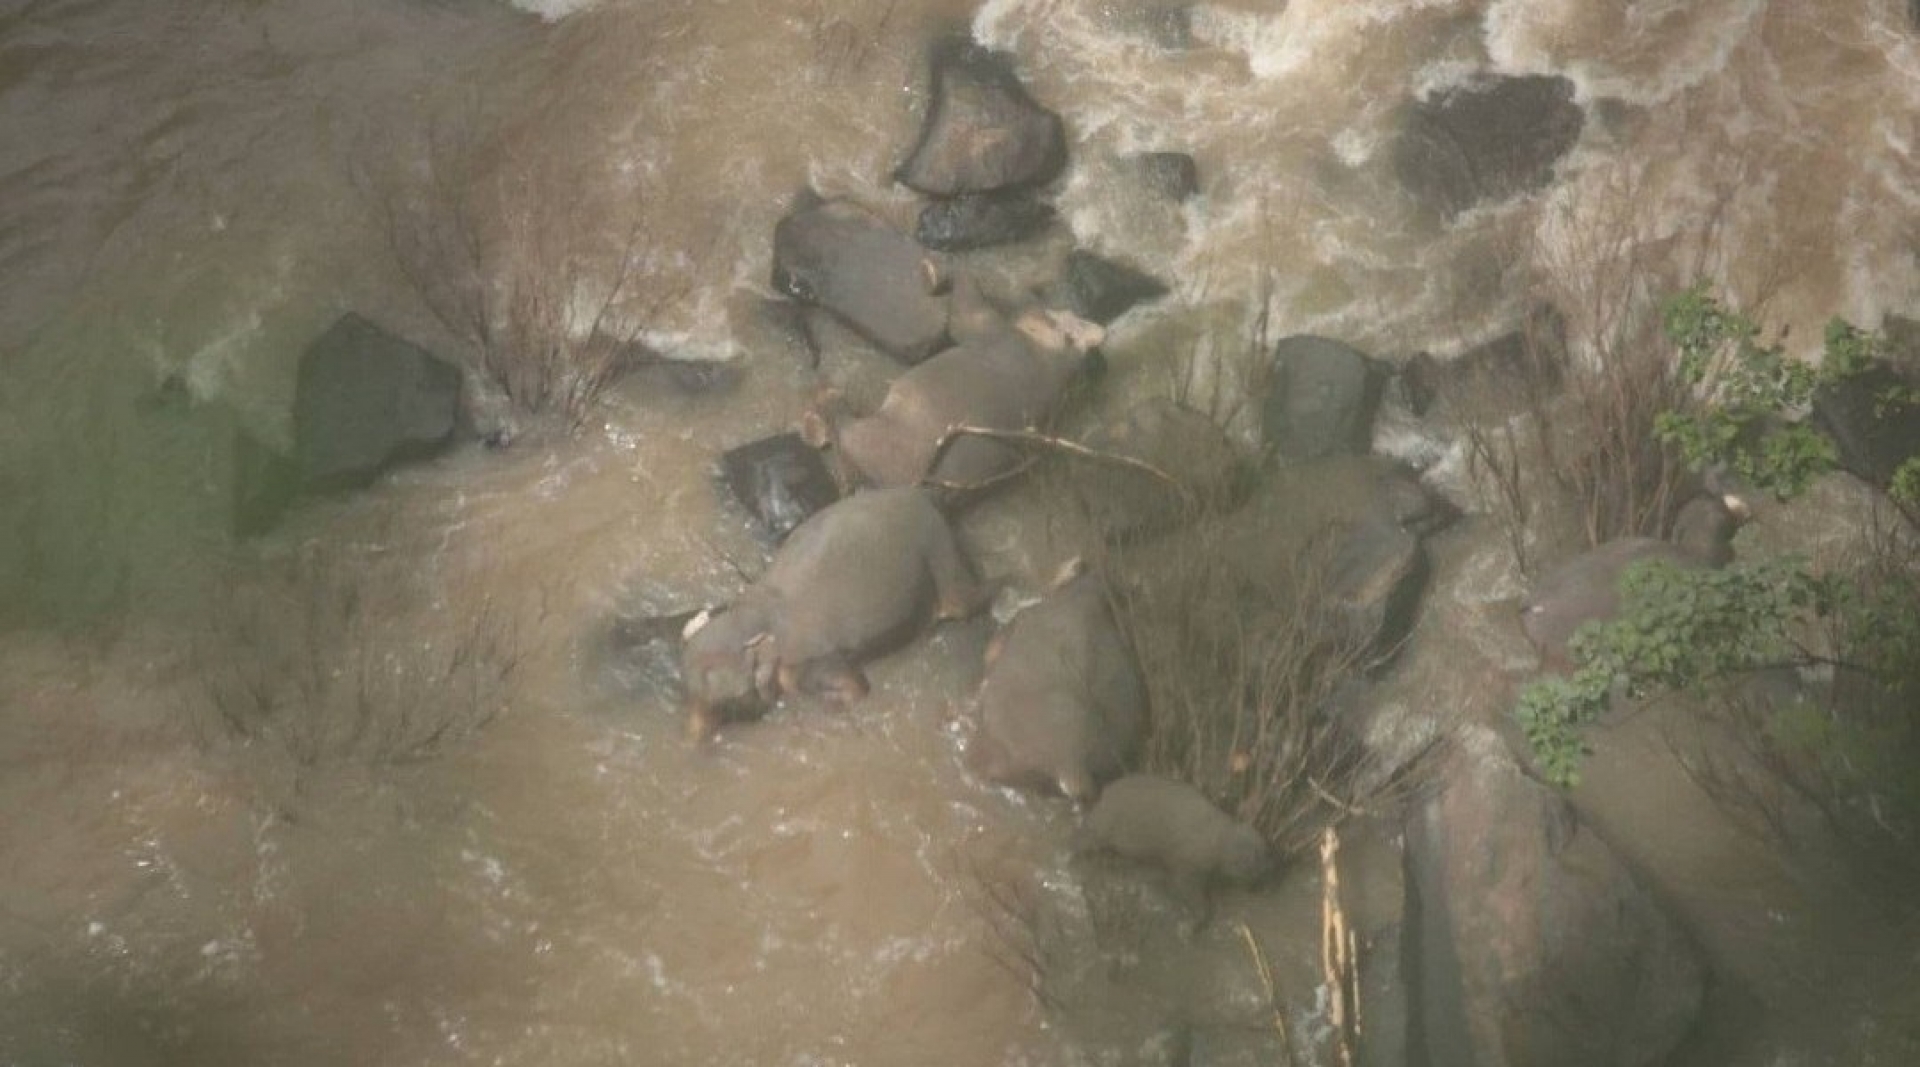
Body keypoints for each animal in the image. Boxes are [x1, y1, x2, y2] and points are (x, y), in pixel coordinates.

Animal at [680, 486, 987, 741]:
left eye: (727, 703)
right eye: (689, 692)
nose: (696, 739)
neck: (758, 613)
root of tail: (930, 496)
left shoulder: (814, 659)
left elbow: (857, 690)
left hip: (941, 552)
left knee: (967, 598)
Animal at [801, 277, 1104, 493]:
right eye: (1063, 313)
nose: (1038, 300)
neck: (1045, 355)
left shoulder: (989, 331)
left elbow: (966, 310)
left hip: (874, 434)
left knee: (843, 429)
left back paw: (824, 402)